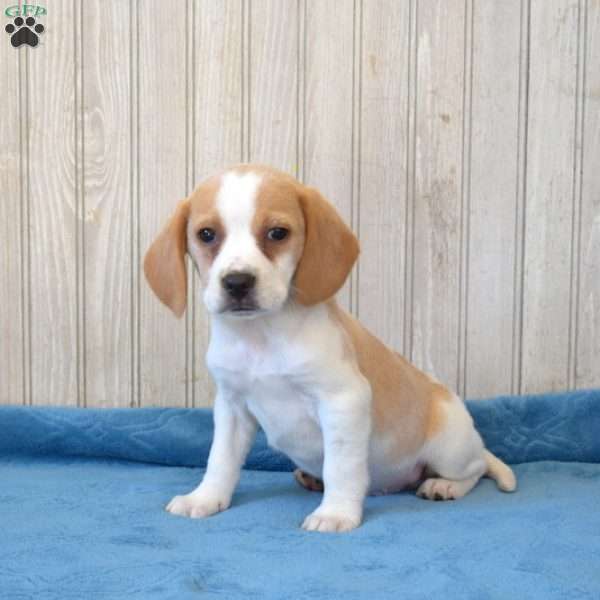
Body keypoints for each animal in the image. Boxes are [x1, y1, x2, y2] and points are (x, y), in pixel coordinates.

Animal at [145, 163, 516, 528]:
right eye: (206, 234)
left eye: (277, 233)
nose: (237, 282)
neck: (261, 335)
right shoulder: (232, 407)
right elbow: (220, 460)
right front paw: (205, 498)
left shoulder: (343, 401)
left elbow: (341, 466)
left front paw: (335, 513)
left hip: (450, 449)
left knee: (476, 470)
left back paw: (443, 485)